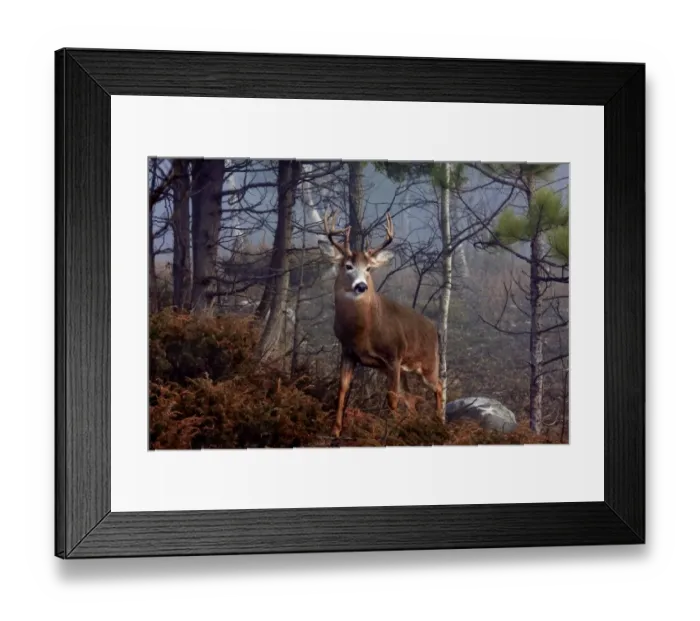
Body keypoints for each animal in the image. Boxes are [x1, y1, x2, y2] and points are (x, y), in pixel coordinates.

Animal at [318, 209, 444, 439]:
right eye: (348, 266)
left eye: (368, 268)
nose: (361, 286)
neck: (363, 332)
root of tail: (434, 329)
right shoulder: (348, 352)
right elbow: (342, 390)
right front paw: (335, 430)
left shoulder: (393, 355)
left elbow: (391, 398)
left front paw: (390, 431)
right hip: (403, 370)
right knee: (411, 398)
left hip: (428, 363)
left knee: (438, 386)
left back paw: (439, 422)